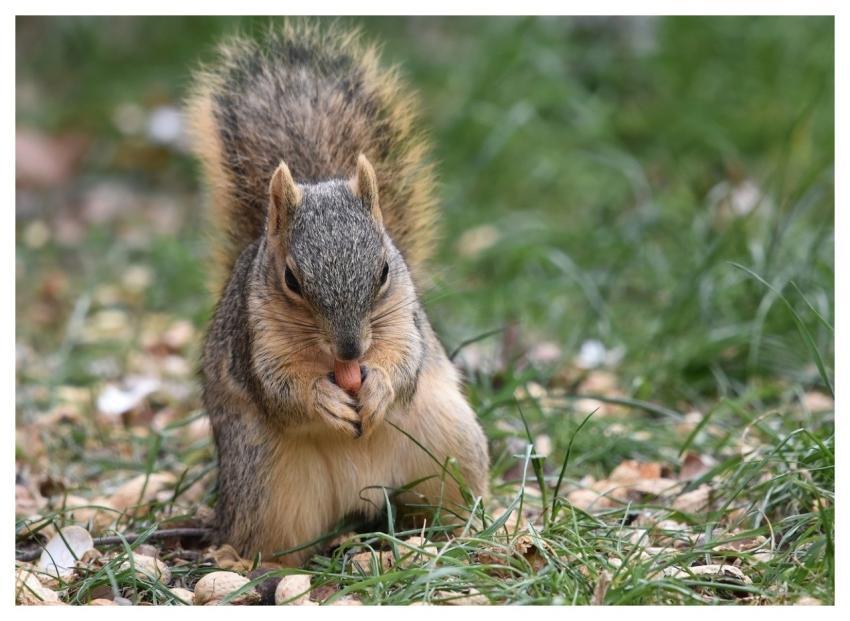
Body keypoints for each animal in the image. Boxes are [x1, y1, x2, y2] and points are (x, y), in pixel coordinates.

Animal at [186, 23, 490, 566]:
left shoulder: (405, 322)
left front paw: (380, 389)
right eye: (291, 280)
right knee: (276, 542)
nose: (351, 350)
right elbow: (280, 391)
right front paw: (322, 400)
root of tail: (362, 495)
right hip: (267, 485)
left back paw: (470, 532)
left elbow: (404, 363)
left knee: (449, 500)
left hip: (449, 443)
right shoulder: (254, 342)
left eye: (385, 269)